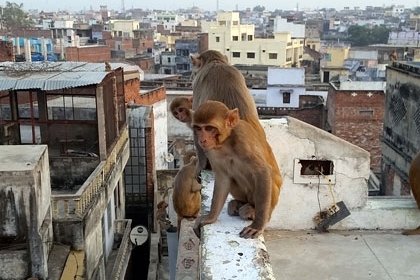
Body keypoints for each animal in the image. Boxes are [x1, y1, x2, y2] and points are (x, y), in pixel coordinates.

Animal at [192, 100, 284, 238]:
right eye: (198, 128)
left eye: (209, 128)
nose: (202, 140)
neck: (226, 141)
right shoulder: (212, 150)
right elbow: (223, 178)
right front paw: (210, 217)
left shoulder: (243, 139)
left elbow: (262, 172)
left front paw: (257, 226)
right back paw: (238, 203)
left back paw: (251, 210)